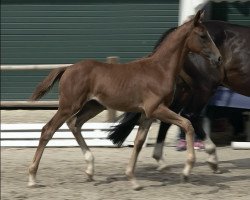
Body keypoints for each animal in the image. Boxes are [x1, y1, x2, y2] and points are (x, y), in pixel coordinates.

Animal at [28, 10, 222, 189]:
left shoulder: (148, 114)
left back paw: (90, 169)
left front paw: (132, 179)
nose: (219, 58)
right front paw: (187, 170)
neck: (160, 69)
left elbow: (139, 142)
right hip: (69, 105)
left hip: (93, 106)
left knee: (75, 124)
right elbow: (187, 124)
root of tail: (67, 68)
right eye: (203, 36)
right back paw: (32, 177)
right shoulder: (156, 109)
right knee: (48, 130)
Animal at [109, 21, 250, 173]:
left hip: (183, 90)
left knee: (170, 119)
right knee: (190, 115)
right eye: (203, 37)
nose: (218, 58)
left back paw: (161, 160)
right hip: (205, 88)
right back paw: (212, 158)